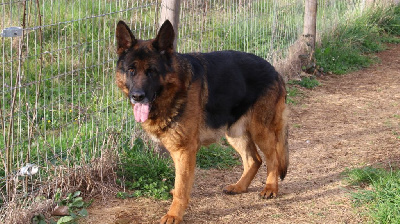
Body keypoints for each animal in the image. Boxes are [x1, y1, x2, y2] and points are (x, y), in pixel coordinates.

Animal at [115, 20, 288, 223]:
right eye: (131, 70)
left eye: (152, 71)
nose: (137, 96)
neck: (177, 88)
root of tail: (274, 70)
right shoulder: (179, 151)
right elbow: (180, 182)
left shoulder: (185, 150)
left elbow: (182, 188)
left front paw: (174, 214)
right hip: (234, 133)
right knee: (254, 160)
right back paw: (239, 186)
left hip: (260, 131)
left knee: (272, 158)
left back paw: (270, 188)